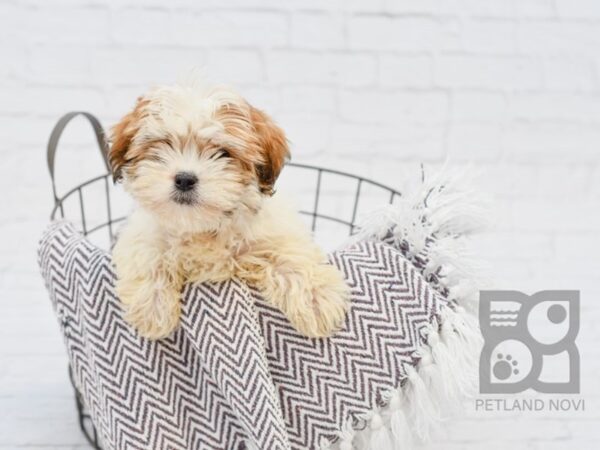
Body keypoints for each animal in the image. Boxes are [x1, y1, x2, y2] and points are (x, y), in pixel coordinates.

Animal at [110, 81, 350, 342]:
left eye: (223, 153)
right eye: (162, 145)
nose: (185, 179)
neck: (203, 227)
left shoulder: (275, 232)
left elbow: (291, 254)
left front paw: (317, 299)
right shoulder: (142, 233)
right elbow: (148, 254)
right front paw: (153, 310)